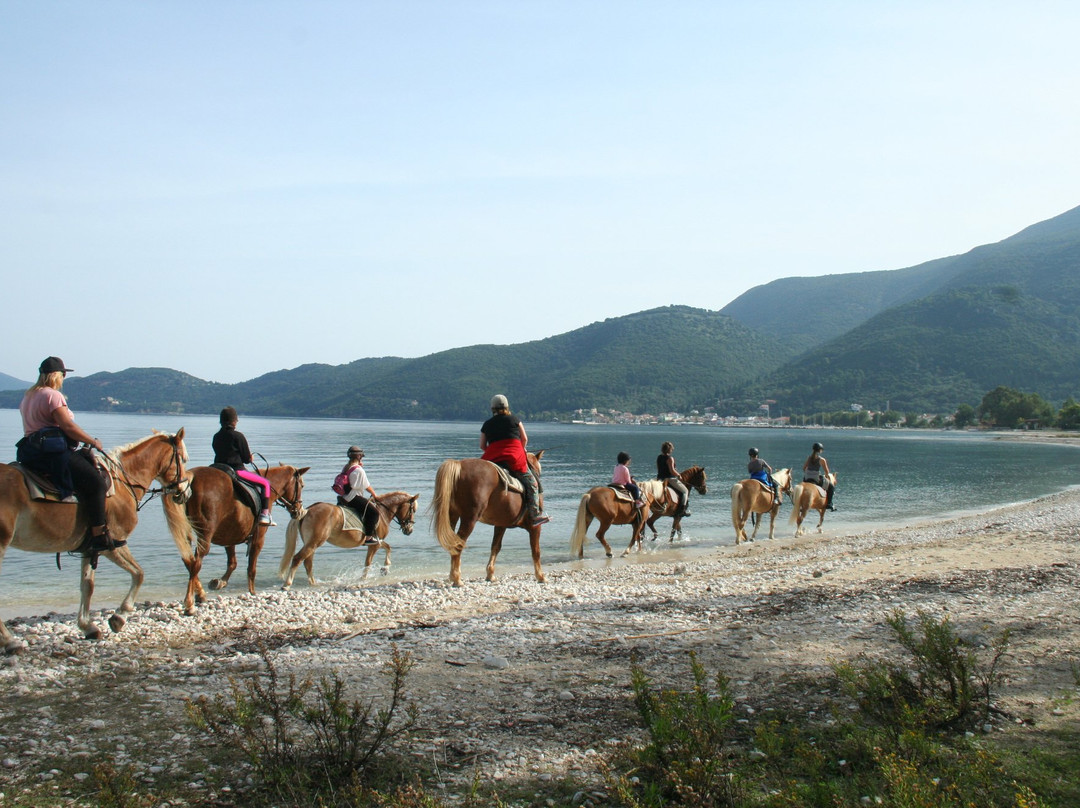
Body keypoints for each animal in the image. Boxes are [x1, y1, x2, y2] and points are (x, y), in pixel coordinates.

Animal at [0, 430, 189, 651]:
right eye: (182, 459)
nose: (185, 492)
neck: (122, 483)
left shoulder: (89, 549)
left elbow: (87, 586)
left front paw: (87, 626)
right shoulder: (112, 544)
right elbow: (139, 574)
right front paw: (119, 617)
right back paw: (11, 640)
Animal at [161, 462, 308, 615]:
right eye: (302, 485)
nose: (298, 510)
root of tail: (192, 477)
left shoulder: (229, 536)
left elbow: (232, 563)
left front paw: (220, 582)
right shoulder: (258, 538)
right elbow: (251, 568)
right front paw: (252, 592)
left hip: (186, 532)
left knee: (189, 561)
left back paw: (200, 595)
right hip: (205, 534)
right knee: (196, 563)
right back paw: (190, 603)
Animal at [278, 491, 420, 589]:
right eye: (412, 510)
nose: (410, 530)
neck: (383, 512)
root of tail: (307, 511)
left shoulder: (377, 541)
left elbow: (388, 547)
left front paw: (385, 569)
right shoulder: (374, 544)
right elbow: (368, 562)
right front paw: (364, 578)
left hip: (311, 543)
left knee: (308, 562)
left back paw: (313, 583)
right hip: (314, 542)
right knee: (298, 559)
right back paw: (287, 584)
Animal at [430, 451, 546, 587]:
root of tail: (459, 465)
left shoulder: (501, 525)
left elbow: (495, 546)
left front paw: (490, 574)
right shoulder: (535, 527)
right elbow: (536, 551)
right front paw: (541, 576)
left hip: (452, 516)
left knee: (452, 543)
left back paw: (453, 576)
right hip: (469, 519)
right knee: (458, 544)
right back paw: (457, 579)